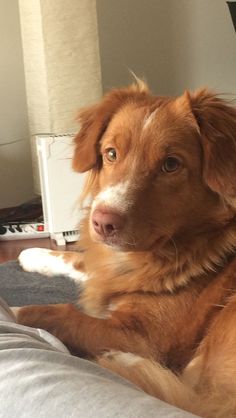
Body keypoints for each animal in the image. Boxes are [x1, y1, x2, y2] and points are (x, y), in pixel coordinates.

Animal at [17, 81, 236, 414]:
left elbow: (52, 313)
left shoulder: (142, 337)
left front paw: (12, 310)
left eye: (171, 165)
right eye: (111, 153)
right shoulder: (109, 273)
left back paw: (119, 360)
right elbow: (78, 260)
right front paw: (32, 255)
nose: (101, 222)